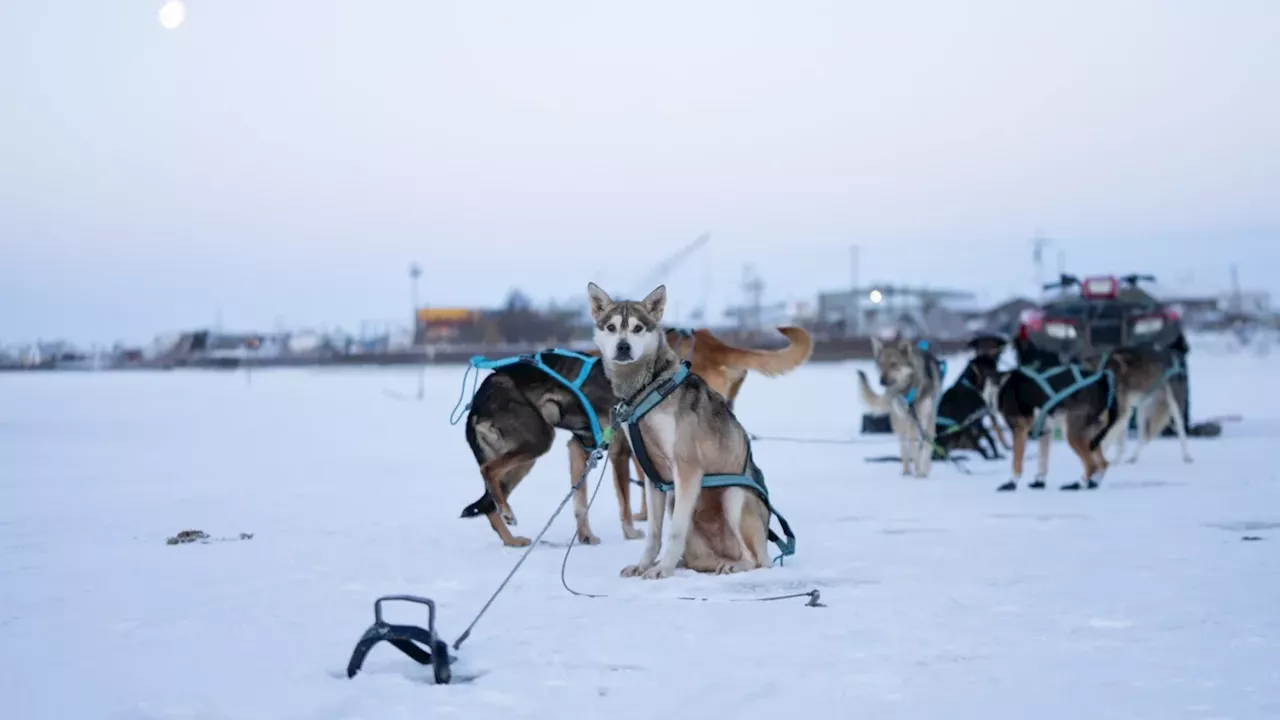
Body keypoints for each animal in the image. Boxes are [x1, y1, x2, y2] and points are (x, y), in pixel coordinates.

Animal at [855, 338, 947, 476]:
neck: (908, 389)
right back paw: (906, 471)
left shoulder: (928, 418)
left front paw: (924, 470)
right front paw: (919, 470)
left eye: (894, 364)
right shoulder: (911, 421)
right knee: (904, 447)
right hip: (901, 422)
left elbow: (927, 446)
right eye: (881, 364)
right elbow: (913, 449)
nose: (882, 381)